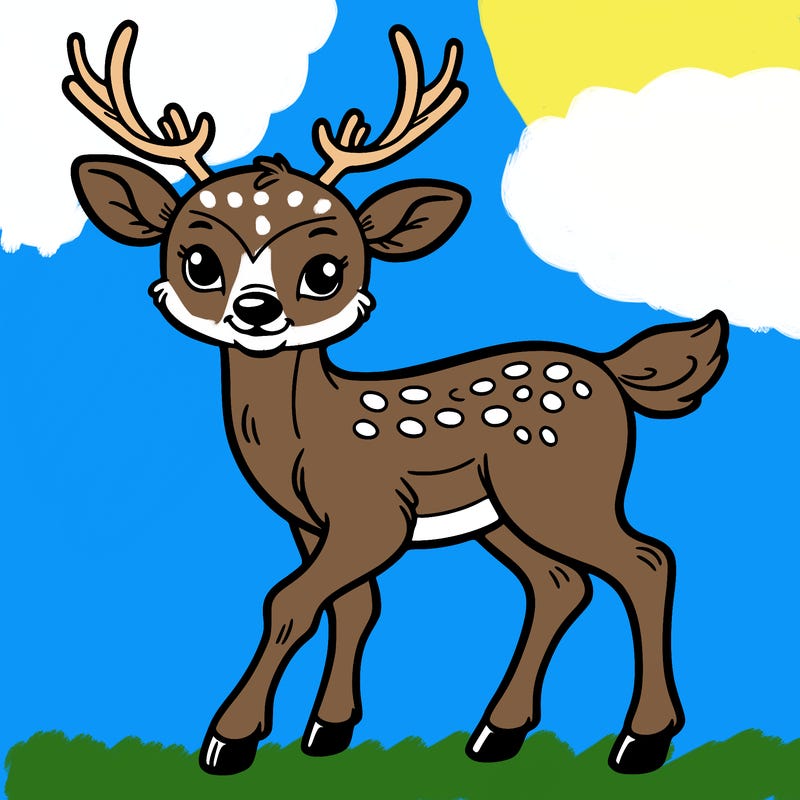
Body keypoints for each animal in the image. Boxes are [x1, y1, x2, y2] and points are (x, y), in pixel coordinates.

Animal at [63, 20, 728, 777]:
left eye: (326, 269)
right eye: (199, 262)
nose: (257, 310)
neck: (307, 437)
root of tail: (612, 371)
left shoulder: (371, 513)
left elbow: (288, 600)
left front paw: (230, 739)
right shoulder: (312, 524)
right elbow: (353, 605)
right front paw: (327, 730)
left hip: (562, 488)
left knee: (646, 561)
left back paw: (641, 741)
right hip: (504, 514)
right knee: (561, 583)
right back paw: (498, 733)